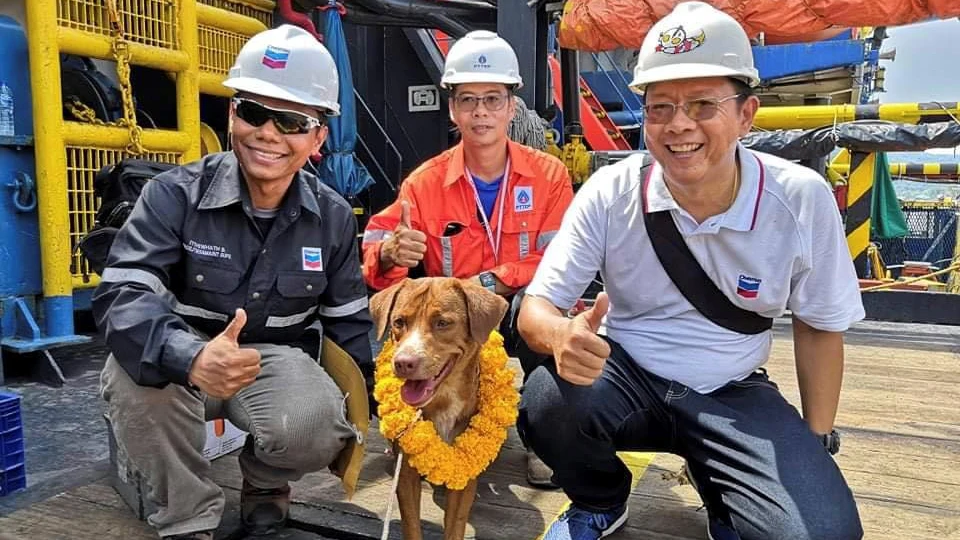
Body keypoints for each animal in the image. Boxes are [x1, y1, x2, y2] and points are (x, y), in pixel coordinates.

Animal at [372, 278, 512, 540]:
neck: (444, 401)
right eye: (398, 322)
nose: (403, 363)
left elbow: (455, 522)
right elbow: (411, 523)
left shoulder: (465, 471)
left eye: (442, 323)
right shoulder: (406, 473)